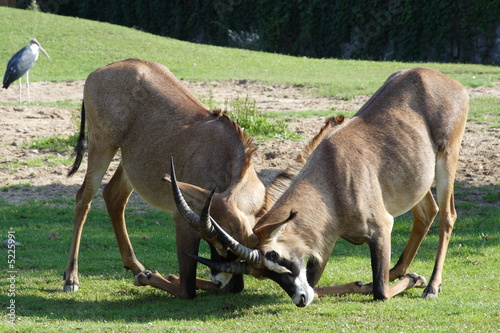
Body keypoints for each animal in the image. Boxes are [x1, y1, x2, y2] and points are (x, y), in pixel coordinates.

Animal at [64, 57, 268, 298]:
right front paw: (158, 277)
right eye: (214, 243)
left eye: (230, 249)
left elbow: (236, 286)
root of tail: (103, 69)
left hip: (131, 161)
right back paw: (72, 277)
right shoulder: (184, 221)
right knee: (83, 198)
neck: (227, 155)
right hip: (102, 145)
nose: (218, 279)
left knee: (114, 196)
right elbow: (187, 288)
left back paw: (136, 266)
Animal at [178, 67, 470, 306]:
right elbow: (319, 286)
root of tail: (454, 85)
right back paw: (400, 271)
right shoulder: (326, 243)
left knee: (447, 216)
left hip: (448, 159)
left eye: (274, 255)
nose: (299, 299)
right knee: (426, 213)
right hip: (417, 180)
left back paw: (431, 286)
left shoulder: (382, 228)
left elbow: (381, 291)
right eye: (264, 274)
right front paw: (371, 281)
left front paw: (414, 280)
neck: (333, 177)